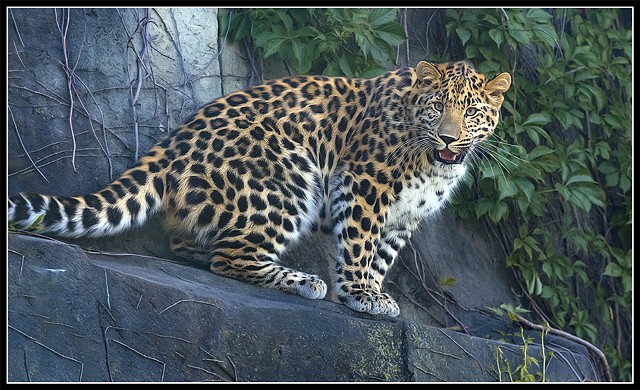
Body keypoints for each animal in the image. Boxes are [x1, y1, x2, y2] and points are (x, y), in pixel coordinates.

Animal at [8, 61, 510, 316]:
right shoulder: (365, 184)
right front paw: (359, 294)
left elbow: (382, 256)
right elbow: (360, 243)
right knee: (232, 257)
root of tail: (171, 144)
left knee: (194, 243)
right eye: (437, 107)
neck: (432, 164)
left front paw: (371, 291)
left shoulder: (406, 215)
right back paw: (306, 282)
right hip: (286, 176)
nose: (447, 138)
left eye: (470, 113)